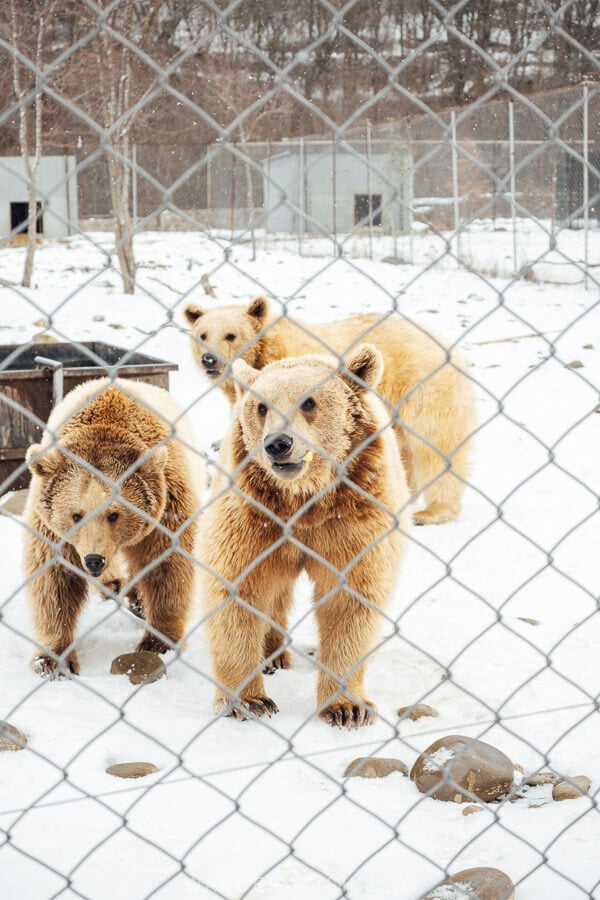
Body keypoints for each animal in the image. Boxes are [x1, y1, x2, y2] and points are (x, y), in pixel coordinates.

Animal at [23, 376, 203, 680]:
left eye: (114, 515)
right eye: (76, 515)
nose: (94, 559)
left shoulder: (165, 510)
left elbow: (166, 569)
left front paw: (156, 642)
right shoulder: (52, 530)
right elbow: (53, 580)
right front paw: (53, 659)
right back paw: (115, 584)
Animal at [185, 296, 476, 528]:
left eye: (230, 335)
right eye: (203, 335)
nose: (209, 360)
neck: (267, 351)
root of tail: (444, 342)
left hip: (421, 386)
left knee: (436, 443)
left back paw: (433, 511)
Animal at [199, 342, 410, 728]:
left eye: (309, 402)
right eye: (261, 406)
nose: (278, 444)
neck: (303, 502)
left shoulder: (352, 521)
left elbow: (349, 602)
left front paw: (346, 707)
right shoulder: (252, 519)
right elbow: (238, 591)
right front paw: (249, 700)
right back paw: (271, 654)